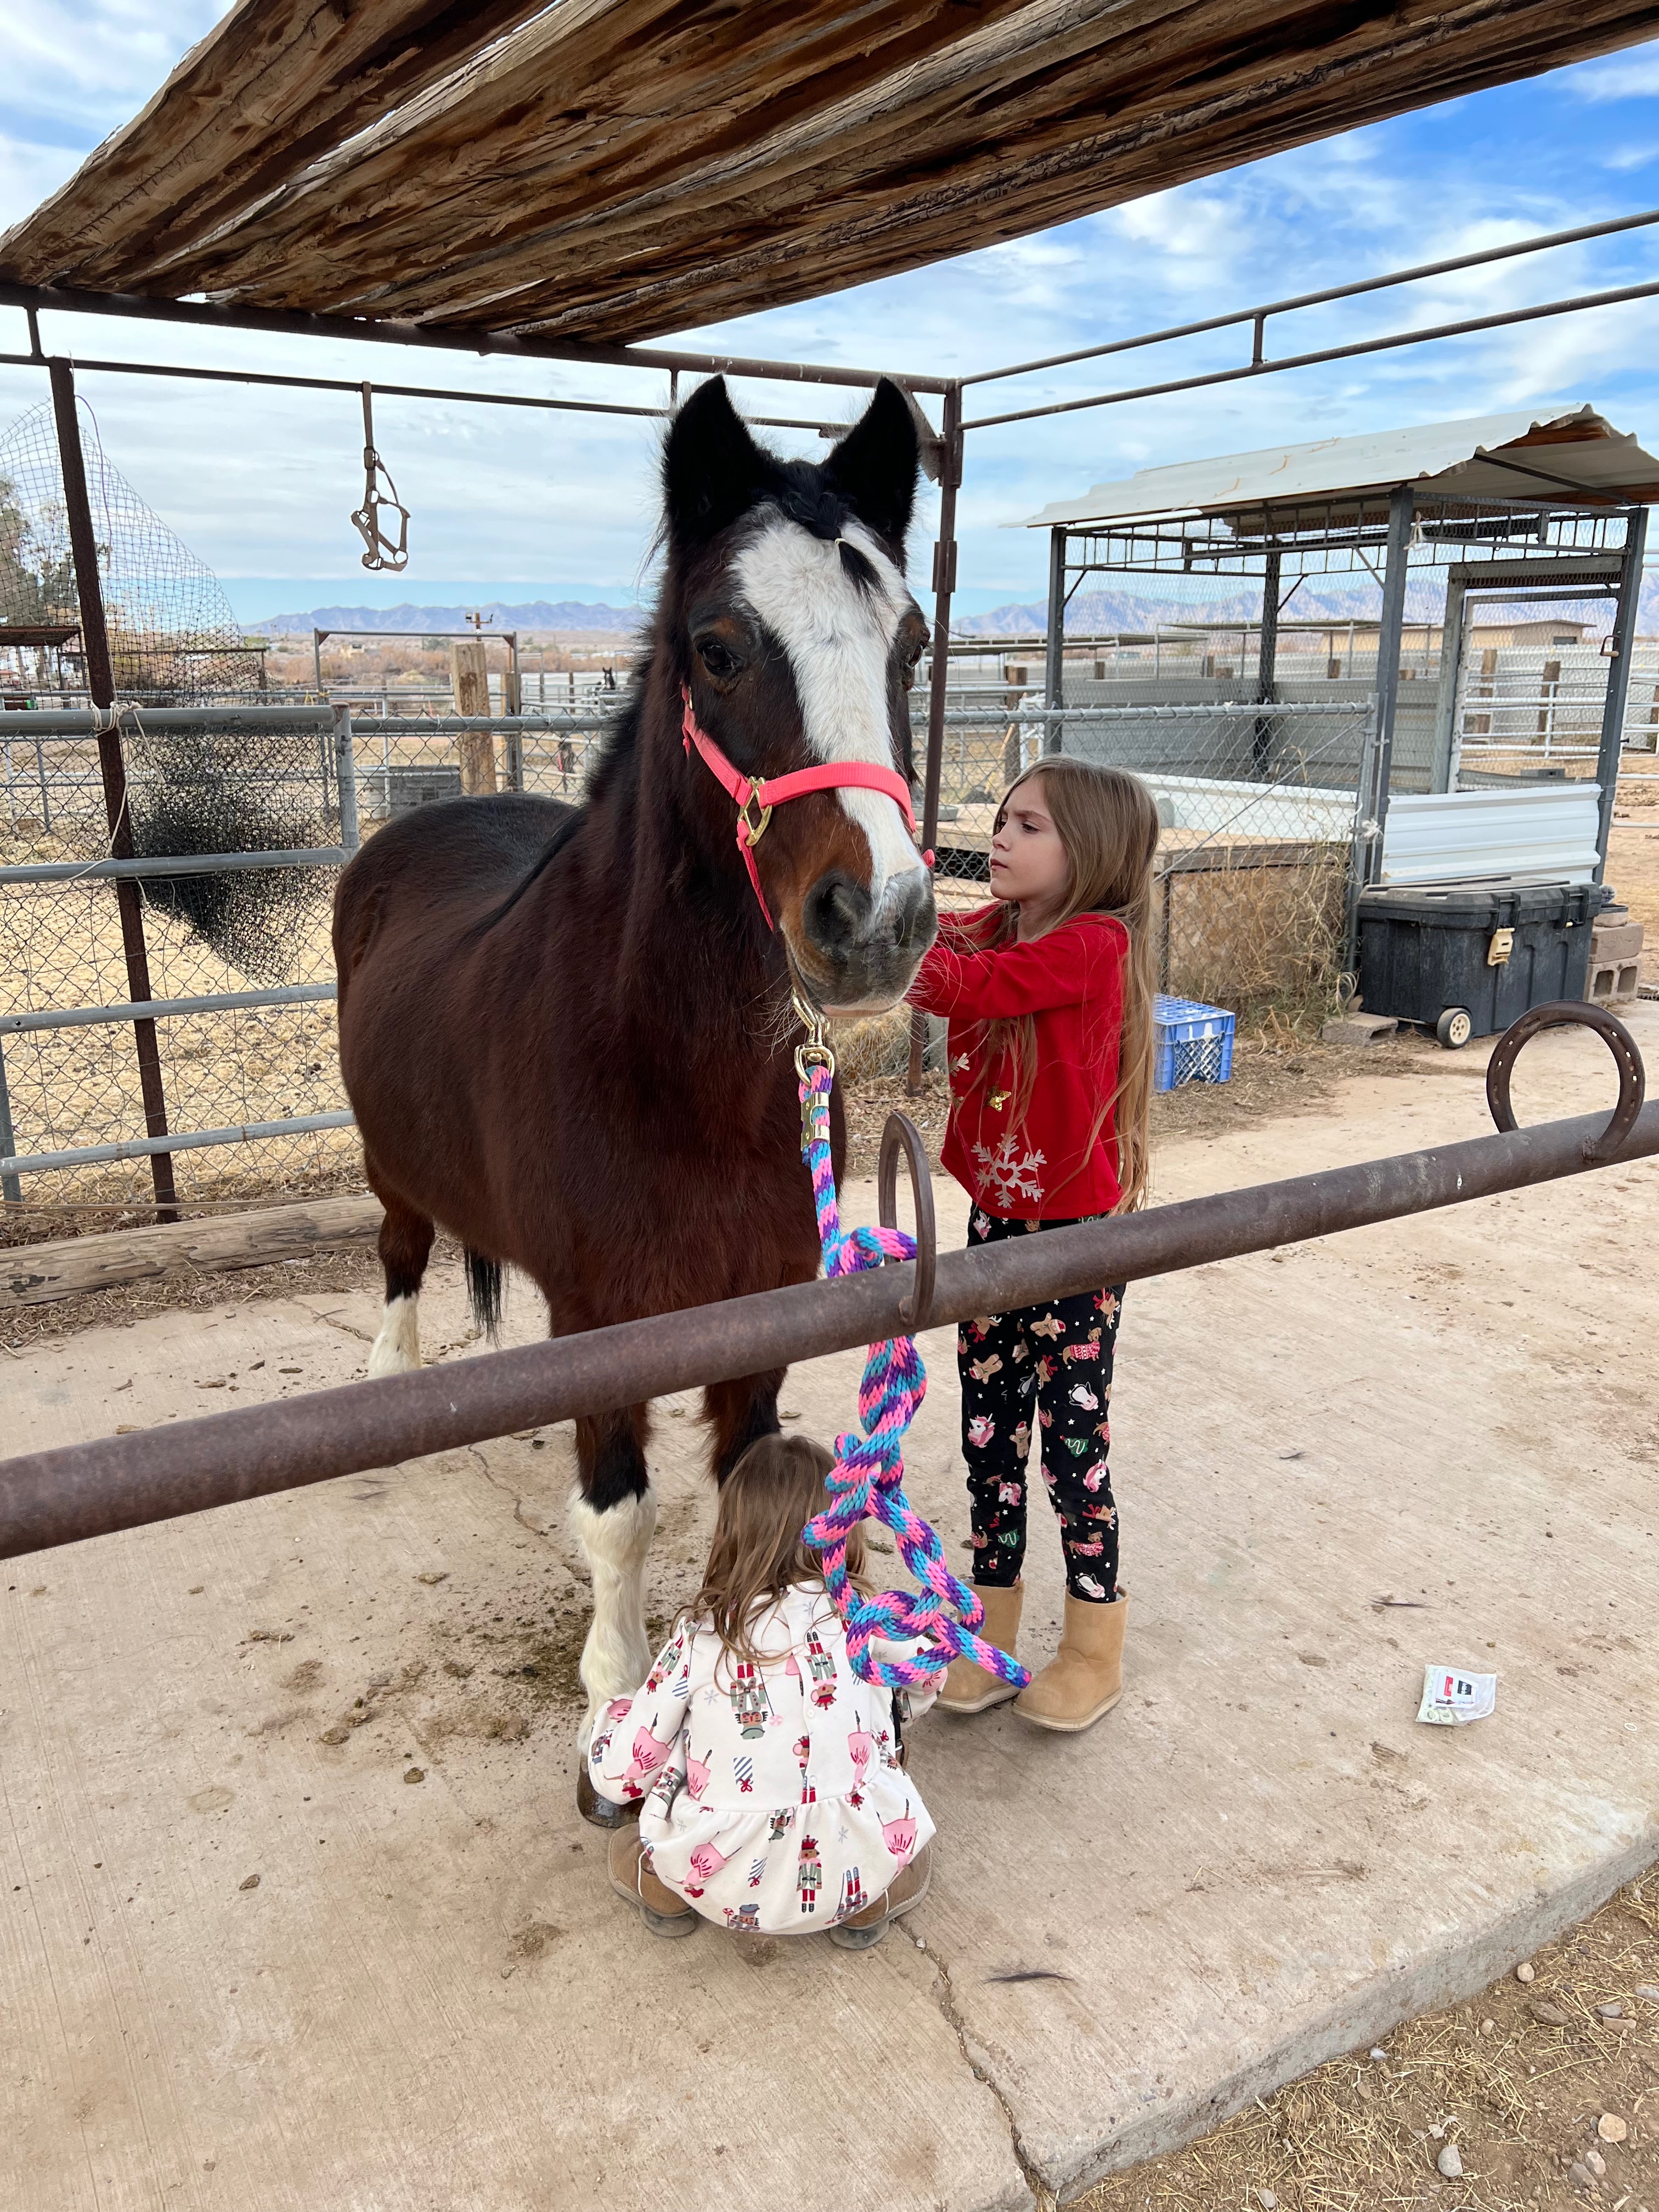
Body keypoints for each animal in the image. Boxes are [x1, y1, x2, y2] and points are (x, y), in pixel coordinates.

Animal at [332, 374, 938, 1817]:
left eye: (913, 647)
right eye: (718, 648)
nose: (879, 925)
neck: (675, 1076)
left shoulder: (759, 1315)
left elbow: (742, 1485)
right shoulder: (603, 1320)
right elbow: (618, 1514)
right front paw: (610, 1687)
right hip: (391, 1173)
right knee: (399, 1259)